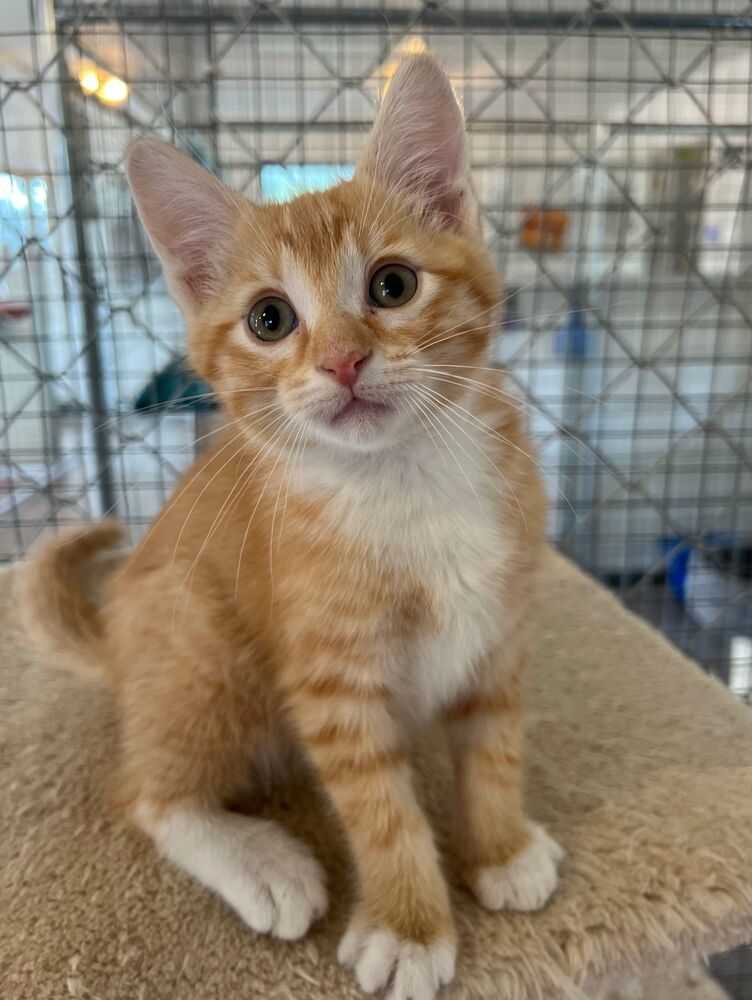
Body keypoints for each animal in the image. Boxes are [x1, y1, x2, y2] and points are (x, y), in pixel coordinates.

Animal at [20, 54, 560, 1000]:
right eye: (269, 319)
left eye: (392, 285)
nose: (344, 361)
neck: (405, 480)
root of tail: (119, 644)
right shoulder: (331, 678)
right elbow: (382, 810)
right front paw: (410, 923)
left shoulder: (500, 629)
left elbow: (495, 746)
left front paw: (499, 845)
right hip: (203, 647)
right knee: (145, 793)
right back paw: (259, 860)